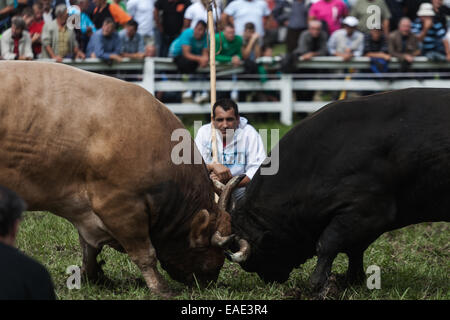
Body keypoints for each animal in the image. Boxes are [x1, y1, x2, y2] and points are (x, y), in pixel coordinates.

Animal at [0, 62, 237, 298]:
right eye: (209, 245)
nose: (211, 278)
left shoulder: (85, 211)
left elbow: (89, 249)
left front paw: (92, 276)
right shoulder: (121, 207)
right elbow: (145, 253)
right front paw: (161, 289)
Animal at [227, 87, 450, 292]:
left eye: (263, 249)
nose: (267, 278)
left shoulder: (367, 211)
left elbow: (328, 243)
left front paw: (317, 284)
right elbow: (354, 249)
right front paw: (353, 279)